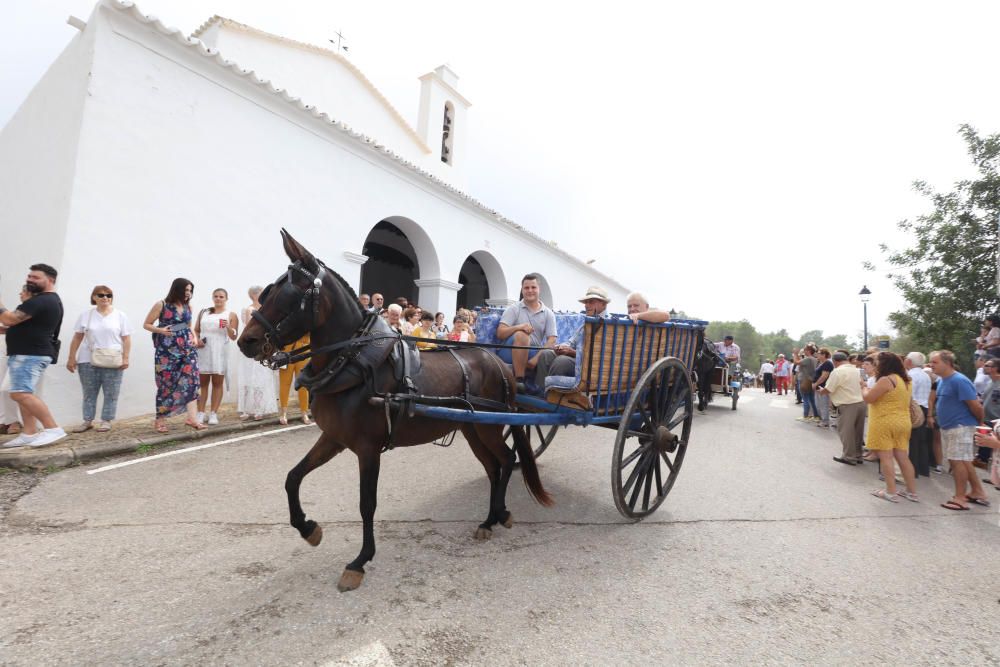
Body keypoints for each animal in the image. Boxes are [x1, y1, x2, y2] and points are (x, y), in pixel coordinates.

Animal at [239, 232, 556, 592]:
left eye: (289, 293)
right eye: (266, 292)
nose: (246, 341)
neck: (353, 363)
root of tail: (500, 365)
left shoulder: (367, 448)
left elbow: (367, 504)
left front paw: (360, 561)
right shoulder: (334, 438)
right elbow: (293, 477)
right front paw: (309, 529)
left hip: (487, 427)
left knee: (505, 460)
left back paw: (498, 515)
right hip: (473, 428)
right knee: (494, 466)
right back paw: (491, 518)